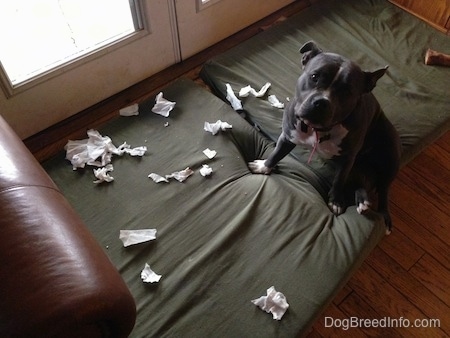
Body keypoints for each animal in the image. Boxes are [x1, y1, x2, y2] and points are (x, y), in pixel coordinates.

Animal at [250, 41, 400, 234]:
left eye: (347, 91)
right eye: (314, 76)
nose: (321, 102)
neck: (318, 129)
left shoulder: (347, 158)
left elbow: (339, 180)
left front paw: (335, 201)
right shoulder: (288, 136)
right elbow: (277, 154)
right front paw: (264, 167)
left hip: (390, 158)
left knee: (383, 191)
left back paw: (383, 215)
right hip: (359, 167)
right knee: (361, 182)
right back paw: (363, 200)